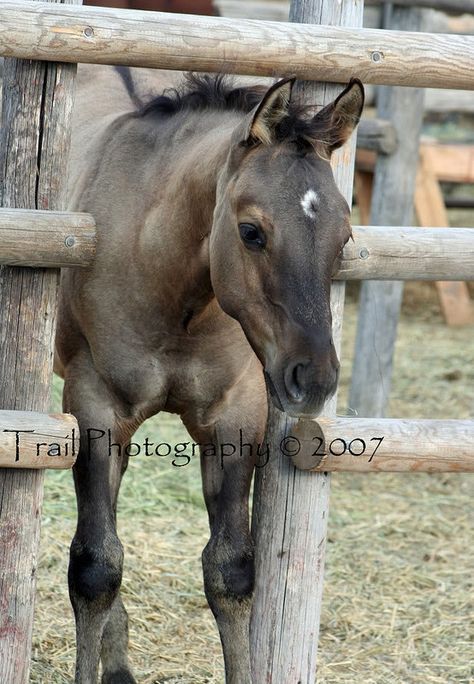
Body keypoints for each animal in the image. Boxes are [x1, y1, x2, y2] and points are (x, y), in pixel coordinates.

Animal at [54, 65, 362, 684]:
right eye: (251, 231)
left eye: (344, 236)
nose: (313, 379)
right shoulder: (95, 408)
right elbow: (95, 568)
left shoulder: (235, 418)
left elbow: (231, 572)